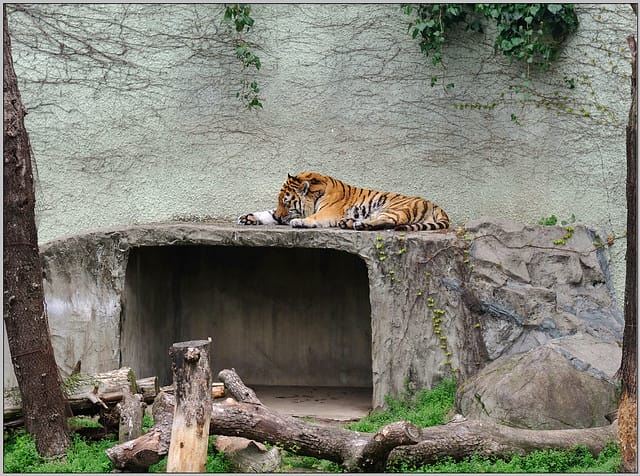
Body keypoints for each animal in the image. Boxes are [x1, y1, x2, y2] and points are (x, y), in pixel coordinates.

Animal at [237, 172, 449, 231]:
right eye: (280, 202)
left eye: (287, 203)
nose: (282, 218)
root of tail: (437, 206)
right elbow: (267, 213)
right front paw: (247, 218)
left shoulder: (328, 211)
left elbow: (314, 217)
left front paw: (299, 221)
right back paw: (349, 223)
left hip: (393, 208)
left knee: (390, 221)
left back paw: (359, 225)